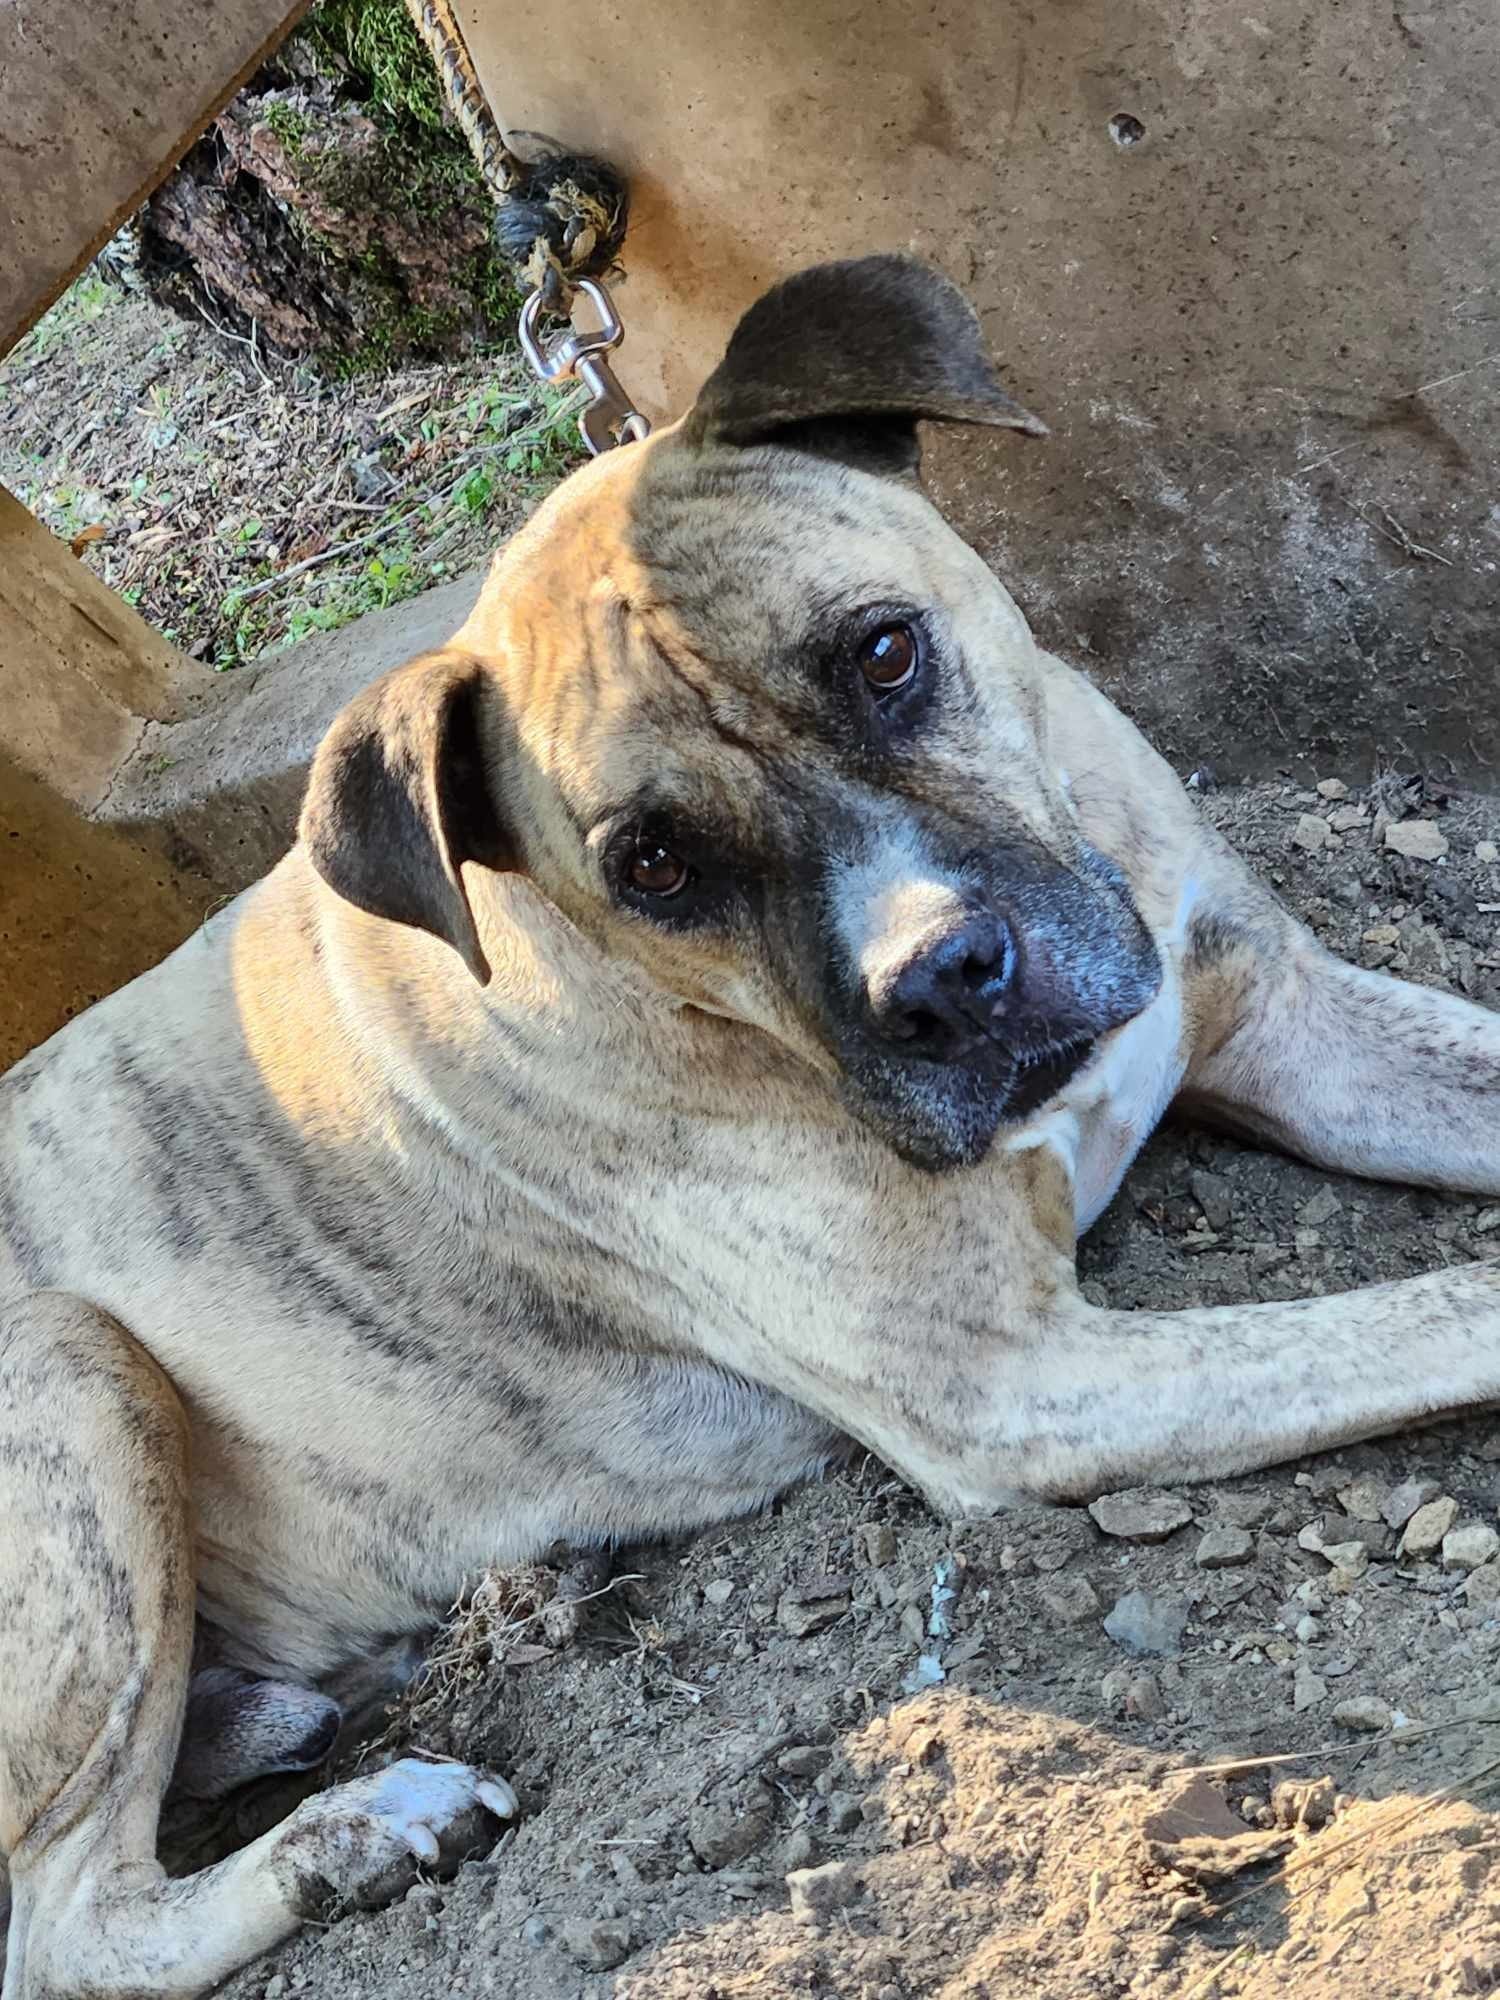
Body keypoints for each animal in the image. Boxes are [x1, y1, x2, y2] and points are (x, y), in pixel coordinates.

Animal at [2, 258, 1500, 1992]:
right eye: (654, 863)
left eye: (884, 654)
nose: (947, 982)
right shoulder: (1018, 1386)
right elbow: (1431, 1310)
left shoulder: (1293, 1025)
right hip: (69, 1368)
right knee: (68, 1923)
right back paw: (355, 1839)